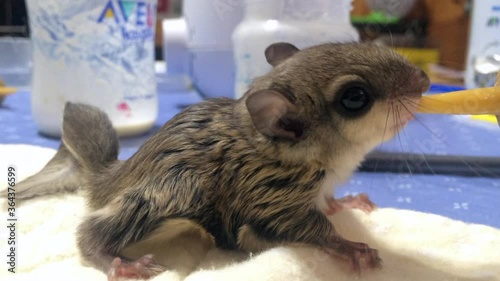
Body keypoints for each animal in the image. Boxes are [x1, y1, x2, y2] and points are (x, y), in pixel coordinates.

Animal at [6, 42, 430, 280]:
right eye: (355, 97)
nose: (425, 80)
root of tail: (112, 179)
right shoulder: (269, 196)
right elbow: (309, 228)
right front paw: (349, 246)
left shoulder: (315, 188)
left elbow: (328, 202)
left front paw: (350, 201)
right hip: (176, 190)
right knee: (89, 233)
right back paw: (115, 261)